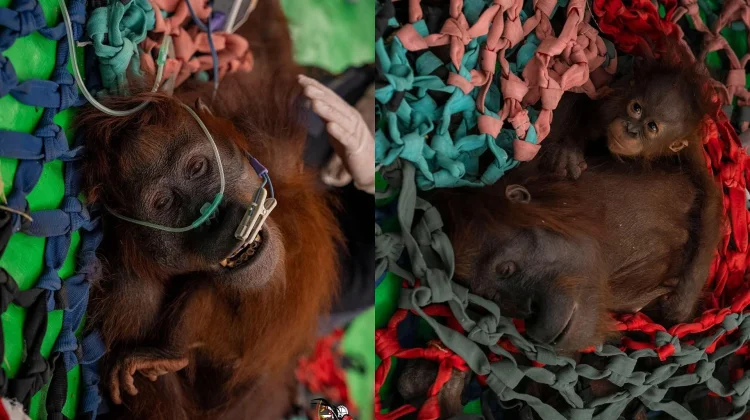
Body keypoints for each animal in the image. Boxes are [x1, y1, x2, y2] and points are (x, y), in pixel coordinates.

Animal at [75, 2, 344, 419]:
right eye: (165, 204)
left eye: (197, 168)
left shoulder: (270, 139)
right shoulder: (128, 288)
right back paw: (169, 354)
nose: (212, 213)